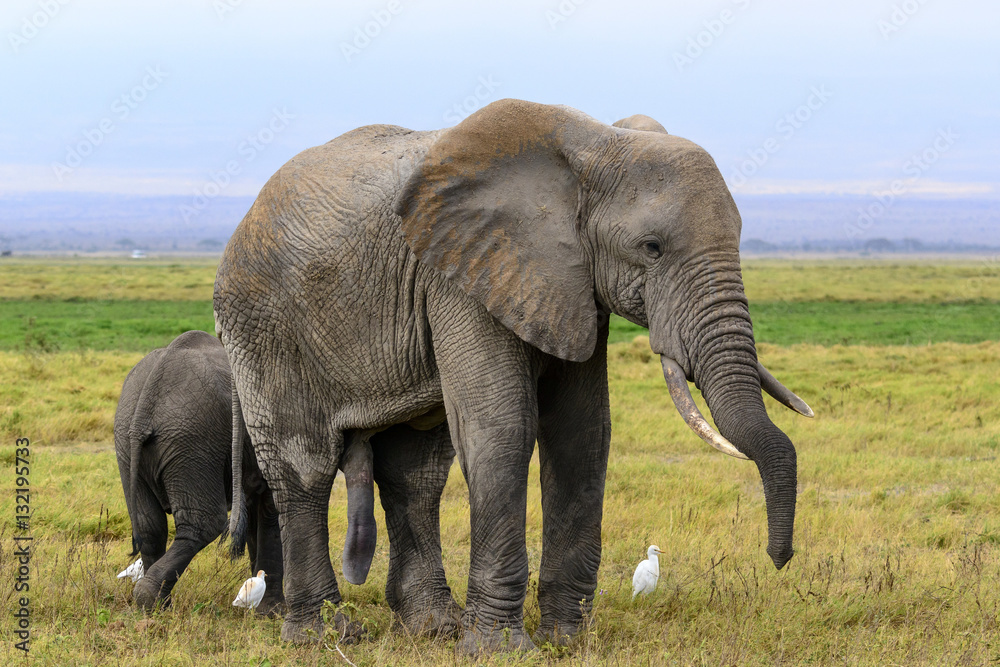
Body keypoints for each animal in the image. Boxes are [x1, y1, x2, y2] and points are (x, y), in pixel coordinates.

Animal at [215, 100, 808, 656]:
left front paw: (565, 641)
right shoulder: (463, 273)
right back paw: (325, 635)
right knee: (305, 468)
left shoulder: (568, 282)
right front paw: (499, 650)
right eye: (651, 248)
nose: (779, 557)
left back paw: (432, 628)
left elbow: (582, 433)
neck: (595, 145)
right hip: (265, 330)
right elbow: (501, 429)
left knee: (416, 474)